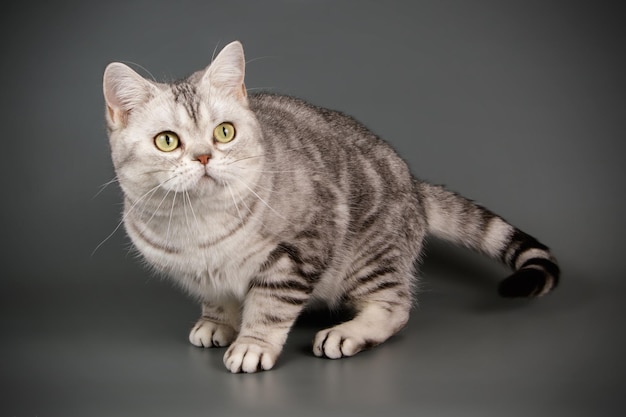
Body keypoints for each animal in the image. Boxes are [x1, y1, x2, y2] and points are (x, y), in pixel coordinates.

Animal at [101, 40, 556, 372]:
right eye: (167, 141)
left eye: (224, 132)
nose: (203, 157)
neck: (198, 225)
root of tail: (414, 185)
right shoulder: (201, 276)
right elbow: (219, 298)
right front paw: (218, 322)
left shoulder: (297, 251)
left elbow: (268, 307)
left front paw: (252, 343)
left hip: (368, 255)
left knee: (396, 306)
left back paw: (347, 333)